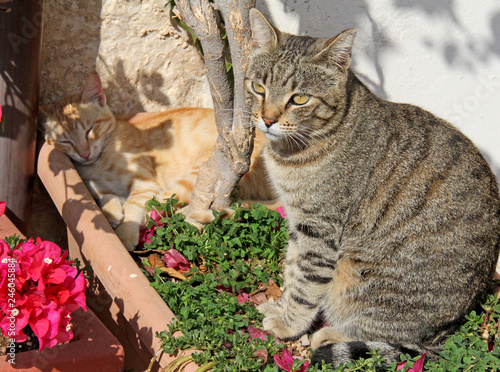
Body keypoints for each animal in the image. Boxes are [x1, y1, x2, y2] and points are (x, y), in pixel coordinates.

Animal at [40, 72, 274, 251]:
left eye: (89, 130)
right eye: (65, 141)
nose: (85, 153)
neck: (99, 164)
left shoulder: (145, 182)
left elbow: (134, 205)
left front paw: (124, 231)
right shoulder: (93, 184)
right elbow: (104, 195)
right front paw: (112, 209)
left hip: (200, 174)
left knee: (167, 206)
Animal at [245, 8, 500, 366]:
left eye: (299, 99)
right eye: (258, 87)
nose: (267, 120)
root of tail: (447, 332)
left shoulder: (320, 230)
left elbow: (305, 283)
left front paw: (288, 323)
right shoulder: (299, 222)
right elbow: (292, 269)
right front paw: (281, 307)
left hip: (360, 279)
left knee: (396, 339)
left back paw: (329, 334)